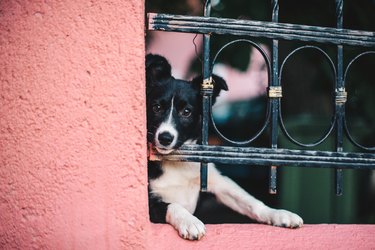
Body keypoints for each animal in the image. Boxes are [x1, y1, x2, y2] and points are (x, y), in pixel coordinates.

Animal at [145, 54, 304, 240]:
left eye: (186, 112)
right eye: (156, 108)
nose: (165, 138)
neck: (176, 163)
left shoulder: (218, 181)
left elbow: (250, 201)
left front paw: (277, 214)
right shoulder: (149, 205)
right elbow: (173, 206)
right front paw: (190, 221)